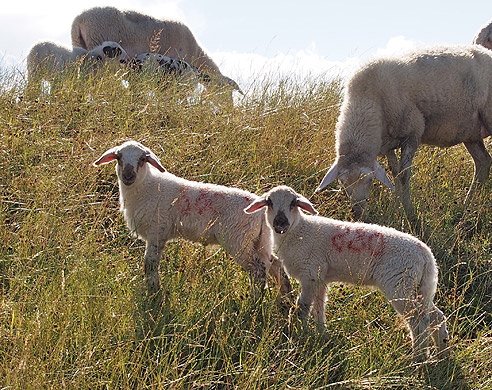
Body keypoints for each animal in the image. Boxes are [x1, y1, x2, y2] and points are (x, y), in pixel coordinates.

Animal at [244, 185, 448, 360]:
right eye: (269, 202)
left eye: (294, 202)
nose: (280, 222)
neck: (298, 232)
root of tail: (426, 255)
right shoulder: (320, 278)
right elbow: (319, 307)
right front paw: (321, 334)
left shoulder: (310, 273)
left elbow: (303, 307)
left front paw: (300, 332)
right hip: (422, 286)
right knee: (434, 316)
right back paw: (441, 352)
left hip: (400, 283)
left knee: (418, 321)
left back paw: (418, 357)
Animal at [318, 44, 492, 221]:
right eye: (342, 182)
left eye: (370, 179)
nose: (358, 214)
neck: (366, 98)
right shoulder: (387, 143)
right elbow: (394, 174)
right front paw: (396, 207)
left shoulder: (412, 132)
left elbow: (403, 176)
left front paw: (408, 212)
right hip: (470, 132)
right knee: (483, 161)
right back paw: (467, 206)